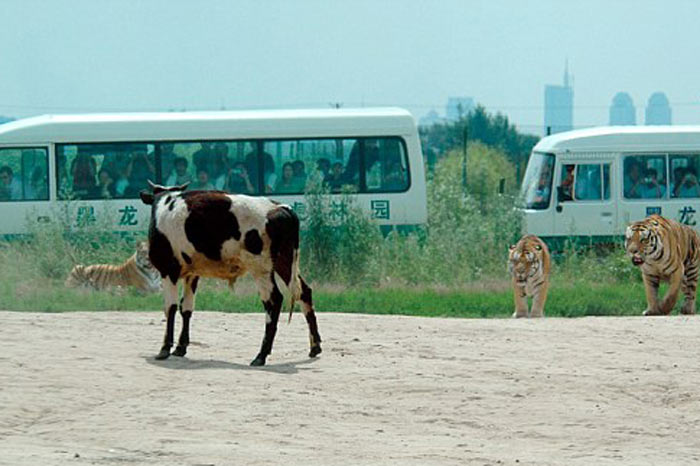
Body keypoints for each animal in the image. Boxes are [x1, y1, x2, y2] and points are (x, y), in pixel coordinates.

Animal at [139, 183, 322, 368]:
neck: (164, 205)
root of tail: (280, 208)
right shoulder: (192, 273)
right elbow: (186, 308)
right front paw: (180, 348)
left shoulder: (168, 270)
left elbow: (170, 308)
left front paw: (164, 349)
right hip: (284, 262)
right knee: (304, 292)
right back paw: (314, 347)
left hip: (261, 268)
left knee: (274, 301)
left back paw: (261, 355)